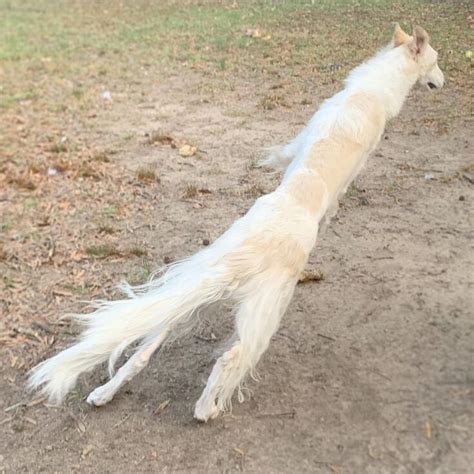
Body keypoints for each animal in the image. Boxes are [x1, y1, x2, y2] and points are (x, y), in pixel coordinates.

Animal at [28, 24, 444, 420]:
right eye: (437, 61)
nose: (444, 81)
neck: (370, 89)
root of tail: (245, 259)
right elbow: (325, 194)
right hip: (266, 312)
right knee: (230, 359)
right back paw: (206, 410)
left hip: (194, 290)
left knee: (147, 345)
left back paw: (104, 394)